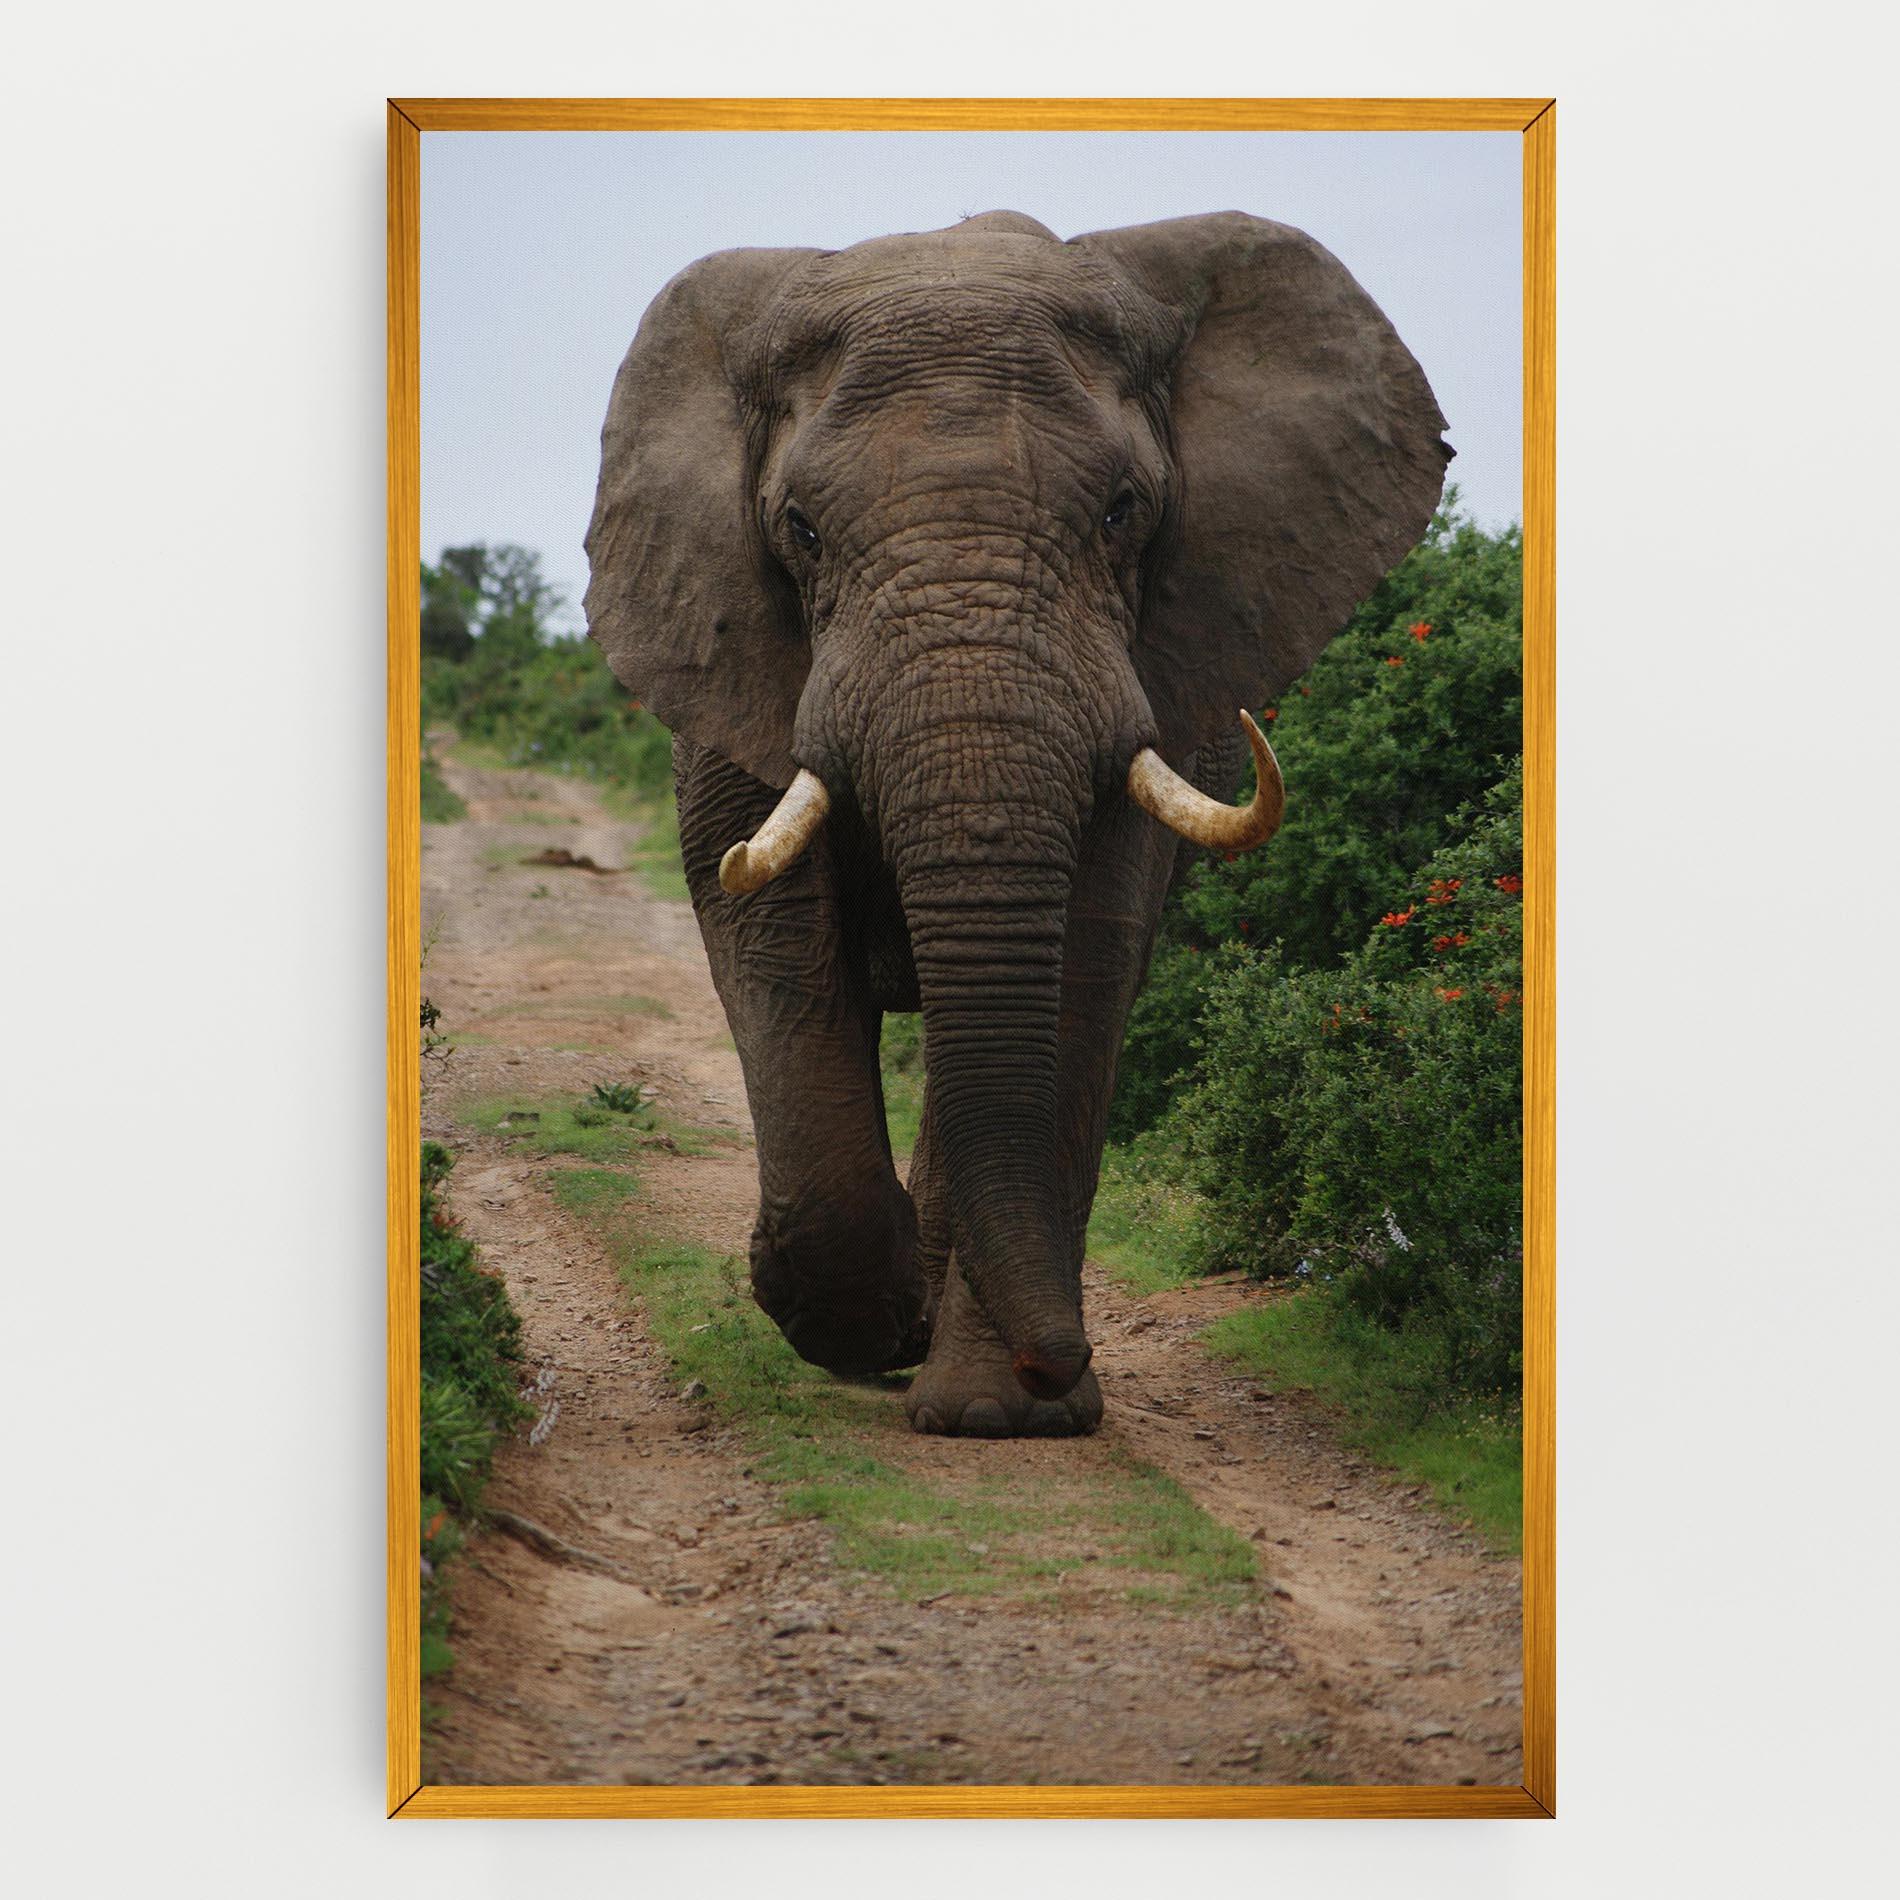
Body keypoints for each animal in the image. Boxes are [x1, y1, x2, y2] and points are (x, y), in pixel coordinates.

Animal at [584, 210, 1449, 1438]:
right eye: (798, 529)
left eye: (1123, 512)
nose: (1061, 1358)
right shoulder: (727, 656)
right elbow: (768, 935)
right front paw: (857, 1321)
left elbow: (1085, 956)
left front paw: (1002, 1415)